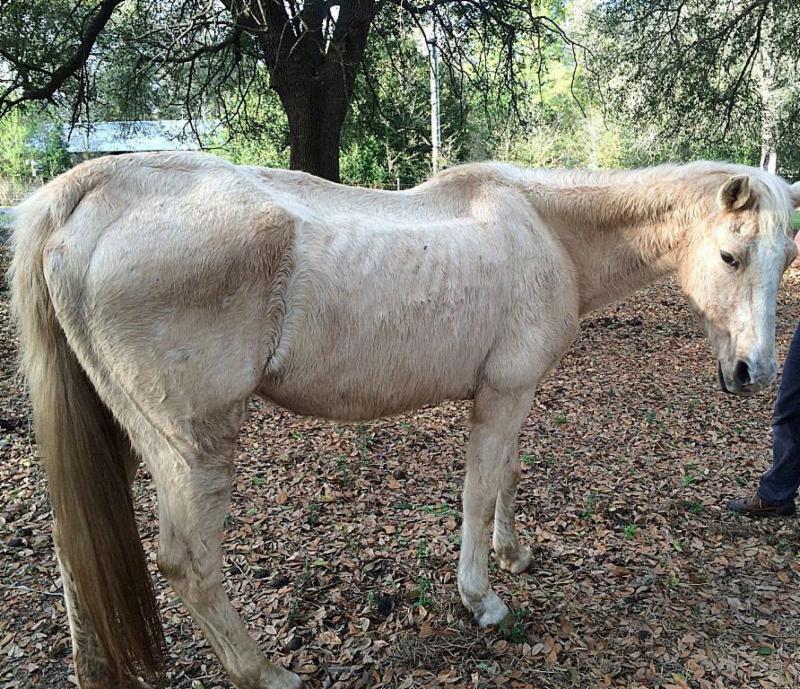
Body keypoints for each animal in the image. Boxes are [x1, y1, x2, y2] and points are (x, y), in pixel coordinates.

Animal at [9, 152, 800, 689]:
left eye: (782, 258)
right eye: (731, 255)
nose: (753, 373)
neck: (544, 227)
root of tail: (85, 197)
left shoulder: (514, 396)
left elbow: (508, 476)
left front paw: (514, 553)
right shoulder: (500, 396)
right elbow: (478, 491)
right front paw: (482, 598)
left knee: (75, 547)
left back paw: (96, 667)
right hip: (192, 443)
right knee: (188, 563)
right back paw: (265, 671)